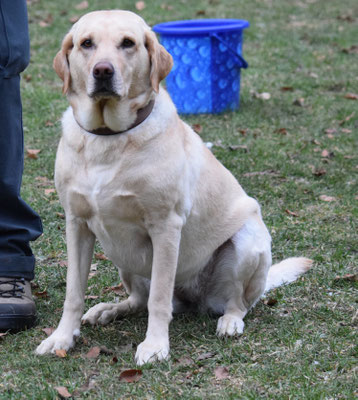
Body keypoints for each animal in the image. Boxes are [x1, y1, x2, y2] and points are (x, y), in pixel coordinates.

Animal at [35, 10, 312, 366]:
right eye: (86, 44)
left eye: (128, 43)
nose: (103, 71)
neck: (109, 138)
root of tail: (194, 297)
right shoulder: (76, 224)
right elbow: (74, 293)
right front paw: (61, 338)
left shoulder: (165, 226)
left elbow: (159, 299)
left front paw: (155, 346)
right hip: (123, 258)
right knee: (138, 299)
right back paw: (109, 309)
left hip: (247, 242)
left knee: (235, 302)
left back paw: (230, 321)